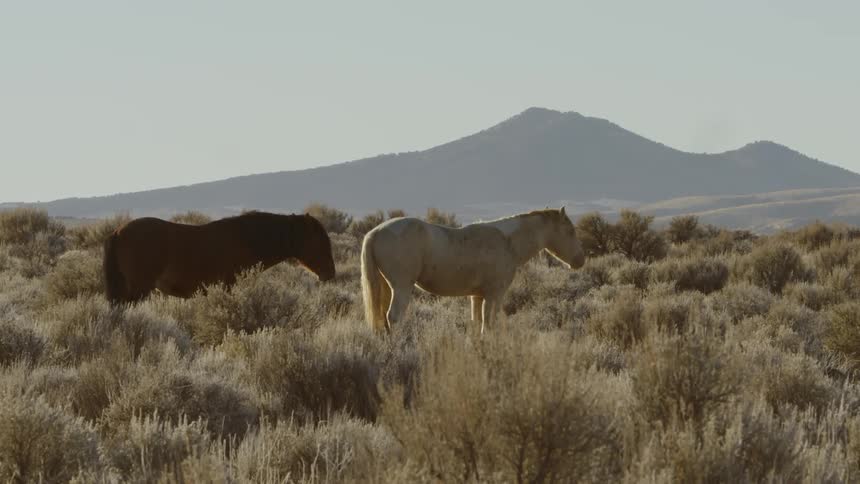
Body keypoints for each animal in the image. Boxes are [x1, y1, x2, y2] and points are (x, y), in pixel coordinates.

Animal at [103, 211, 335, 304]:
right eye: (321, 243)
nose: (330, 274)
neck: (247, 238)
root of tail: (118, 231)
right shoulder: (229, 284)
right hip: (139, 288)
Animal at [361, 207, 585, 334]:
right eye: (570, 231)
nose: (580, 260)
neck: (507, 241)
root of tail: (375, 232)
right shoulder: (494, 295)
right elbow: (489, 326)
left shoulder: (477, 297)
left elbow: (477, 326)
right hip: (401, 288)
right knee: (394, 317)